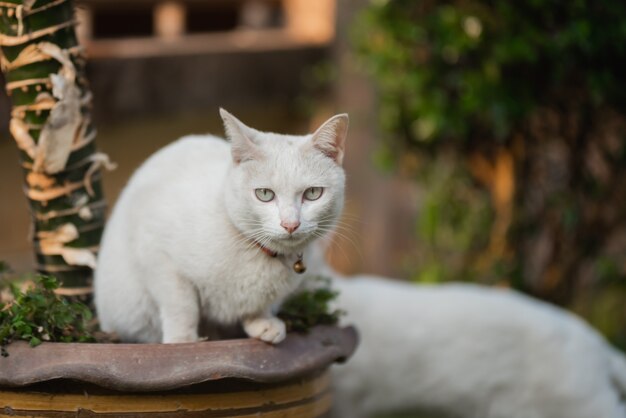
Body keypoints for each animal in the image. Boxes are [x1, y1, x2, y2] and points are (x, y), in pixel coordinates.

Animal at [94, 108, 346, 342]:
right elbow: (182, 305)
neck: (255, 252)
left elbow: (258, 305)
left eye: (313, 193)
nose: (290, 224)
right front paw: (183, 341)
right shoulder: (156, 252)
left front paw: (261, 322)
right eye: (264, 194)